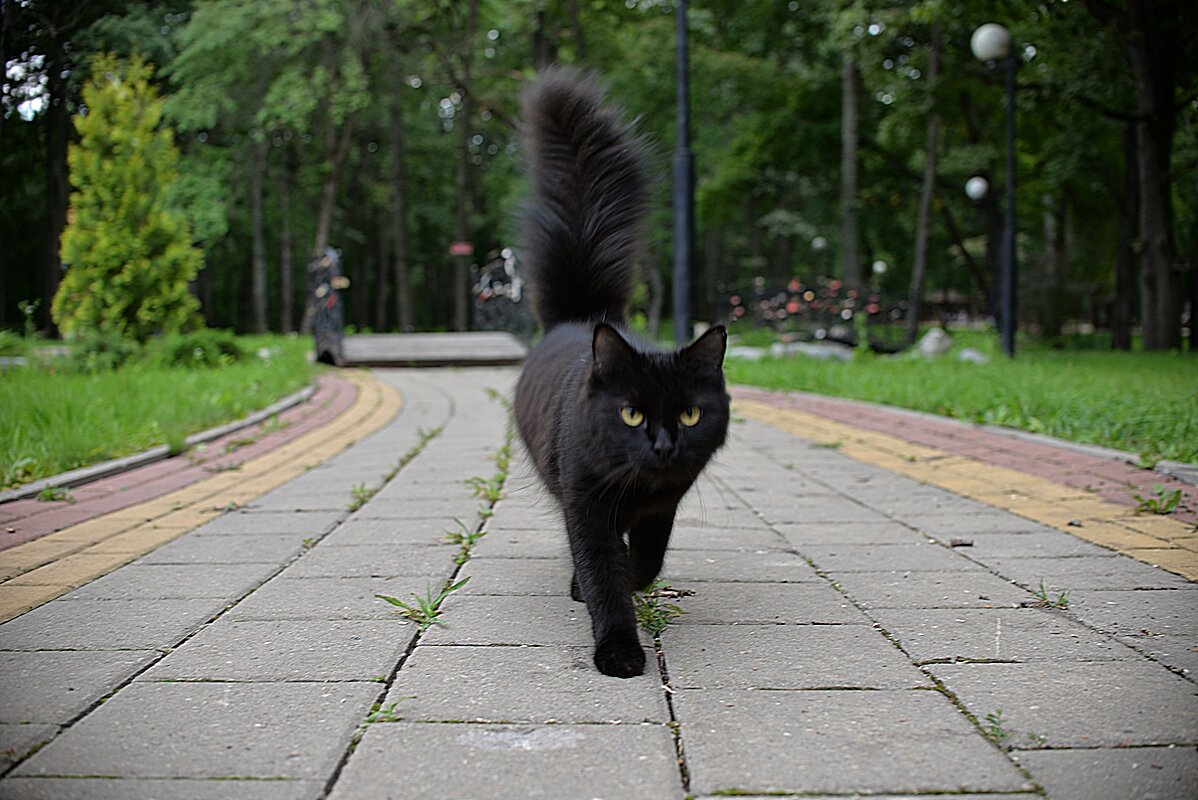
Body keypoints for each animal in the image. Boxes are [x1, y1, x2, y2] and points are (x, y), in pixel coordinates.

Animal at [510, 70, 723, 680]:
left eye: (690, 414)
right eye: (630, 413)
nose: (663, 444)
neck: (638, 486)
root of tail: (583, 316)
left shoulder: (663, 507)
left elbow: (645, 561)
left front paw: (632, 579)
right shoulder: (586, 507)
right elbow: (604, 578)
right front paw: (620, 652)